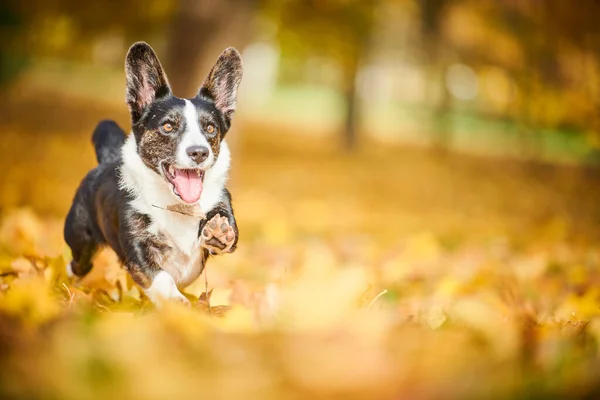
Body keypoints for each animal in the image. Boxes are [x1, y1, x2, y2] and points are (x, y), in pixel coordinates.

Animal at [64, 42, 243, 304]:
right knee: (77, 265)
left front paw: (219, 231)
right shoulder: (138, 251)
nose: (199, 152)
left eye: (210, 128)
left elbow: (223, 230)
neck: (176, 205)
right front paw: (178, 305)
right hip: (81, 243)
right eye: (168, 126)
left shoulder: (219, 206)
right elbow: (162, 279)